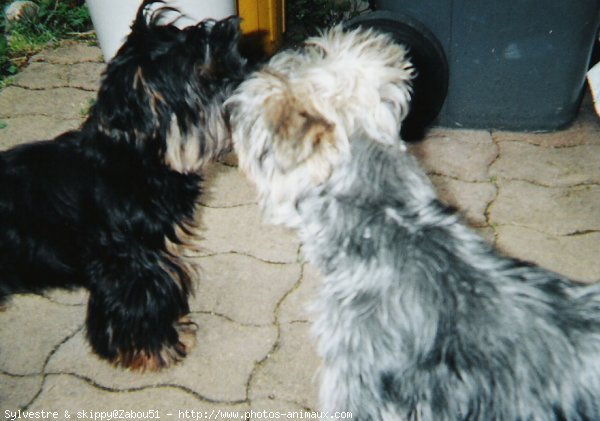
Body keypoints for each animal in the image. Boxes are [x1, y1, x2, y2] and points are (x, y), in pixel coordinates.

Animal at [0, 0, 247, 370]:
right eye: (206, 76)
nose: (249, 82)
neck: (134, 161)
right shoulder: (131, 265)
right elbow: (136, 308)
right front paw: (154, 350)